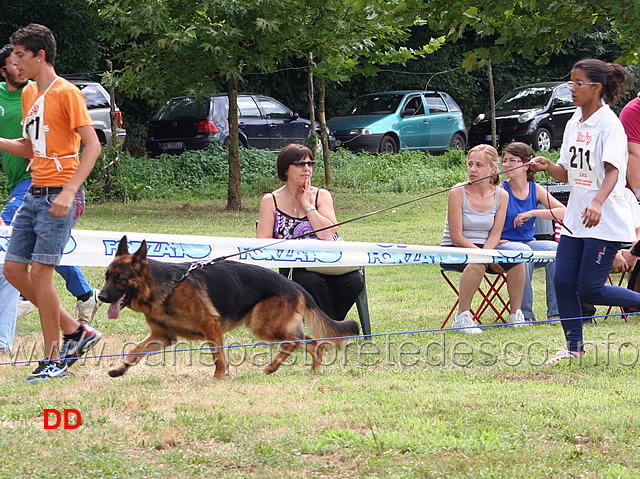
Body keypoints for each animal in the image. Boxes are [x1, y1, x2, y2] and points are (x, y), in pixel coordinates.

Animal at [100, 236, 360, 378]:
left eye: (120, 279)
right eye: (106, 276)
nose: (101, 296)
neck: (165, 286)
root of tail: (295, 285)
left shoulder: (210, 325)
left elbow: (219, 357)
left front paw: (218, 378)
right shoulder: (162, 336)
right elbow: (134, 351)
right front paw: (119, 370)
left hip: (262, 325)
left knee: (295, 342)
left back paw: (273, 367)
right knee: (313, 343)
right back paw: (313, 370)